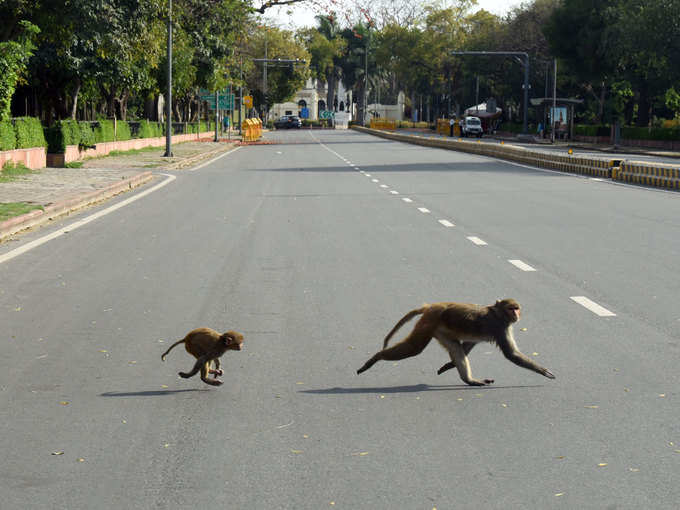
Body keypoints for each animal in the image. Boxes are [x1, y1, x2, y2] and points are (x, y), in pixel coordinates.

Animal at [356, 298, 552, 386]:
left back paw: (470, 380)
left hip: (439, 329)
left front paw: (448, 365)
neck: (498, 313)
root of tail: (431, 306)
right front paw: (543, 371)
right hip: (429, 322)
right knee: (415, 348)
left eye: (517, 308)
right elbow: (511, 354)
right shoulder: (500, 328)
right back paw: (376, 357)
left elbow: (467, 346)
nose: (517, 315)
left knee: (456, 348)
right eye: (512, 309)